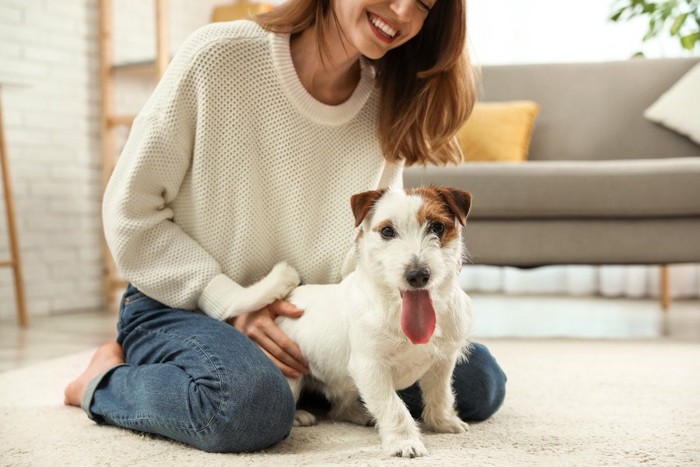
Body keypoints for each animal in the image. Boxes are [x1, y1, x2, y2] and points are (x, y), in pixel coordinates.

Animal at [270, 186, 474, 458]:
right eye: (387, 231)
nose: (418, 275)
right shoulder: (370, 366)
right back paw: (300, 416)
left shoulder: (442, 362)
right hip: (291, 375)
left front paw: (442, 422)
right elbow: (393, 407)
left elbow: (440, 393)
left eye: (437, 227)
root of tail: (288, 297)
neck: (396, 309)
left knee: (339, 406)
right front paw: (404, 442)